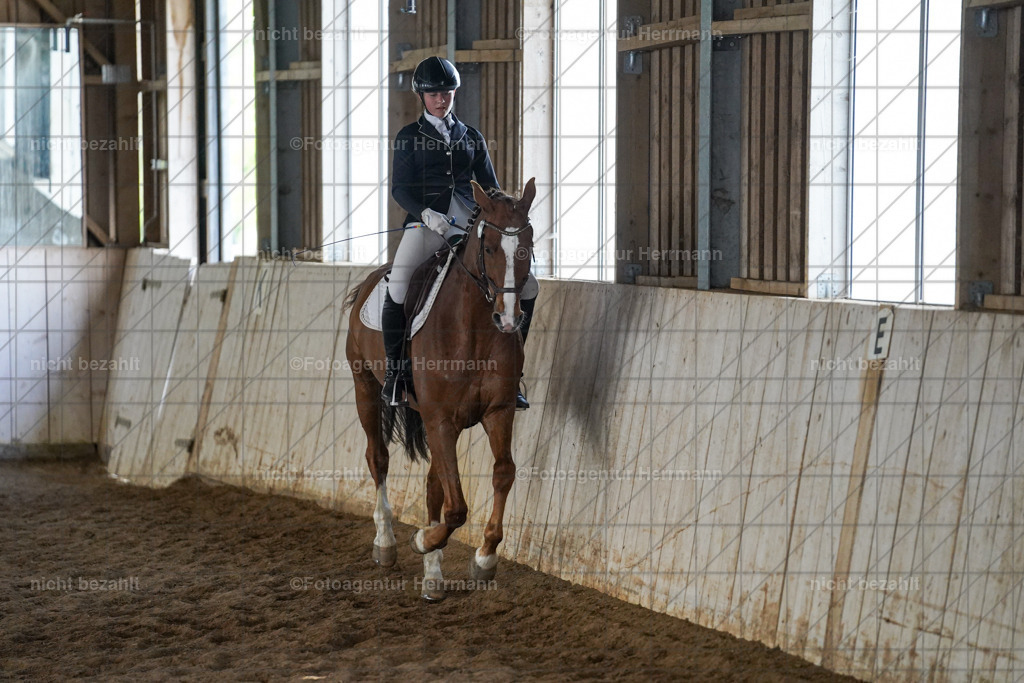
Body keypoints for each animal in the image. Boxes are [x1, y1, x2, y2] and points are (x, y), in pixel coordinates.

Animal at [342, 177, 536, 601]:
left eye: (528, 241)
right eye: (490, 246)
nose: (508, 319)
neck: (474, 328)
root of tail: (370, 279)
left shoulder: (496, 412)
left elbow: (502, 473)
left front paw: (484, 558)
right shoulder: (441, 420)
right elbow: (458, 507)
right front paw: (421, 540)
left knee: (434, 484)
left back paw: (432, 576)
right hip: (365, 387)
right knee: (378, 458)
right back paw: (386, 543)